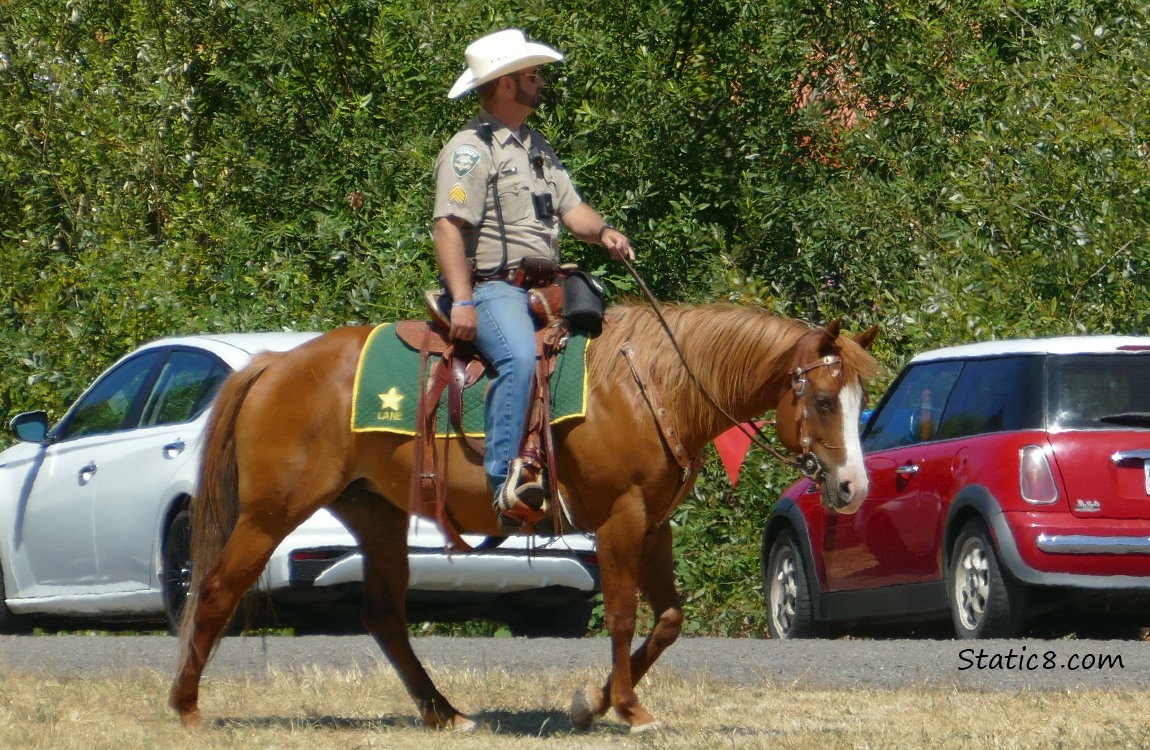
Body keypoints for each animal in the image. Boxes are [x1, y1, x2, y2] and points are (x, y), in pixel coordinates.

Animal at [169, 301, 879, 733]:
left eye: (857, 397)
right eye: (822, 400)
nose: (852, 486)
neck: (652, 384)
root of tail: (273, 366)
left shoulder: (653, 525)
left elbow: (670, 619)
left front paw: (592, 703)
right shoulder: (620, 519)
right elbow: (622, 616)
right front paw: (627, 708)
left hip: (376, 515)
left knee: (384, 617)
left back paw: (444, 713)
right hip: (270, 513)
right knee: (215, 590)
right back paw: (186, 708)